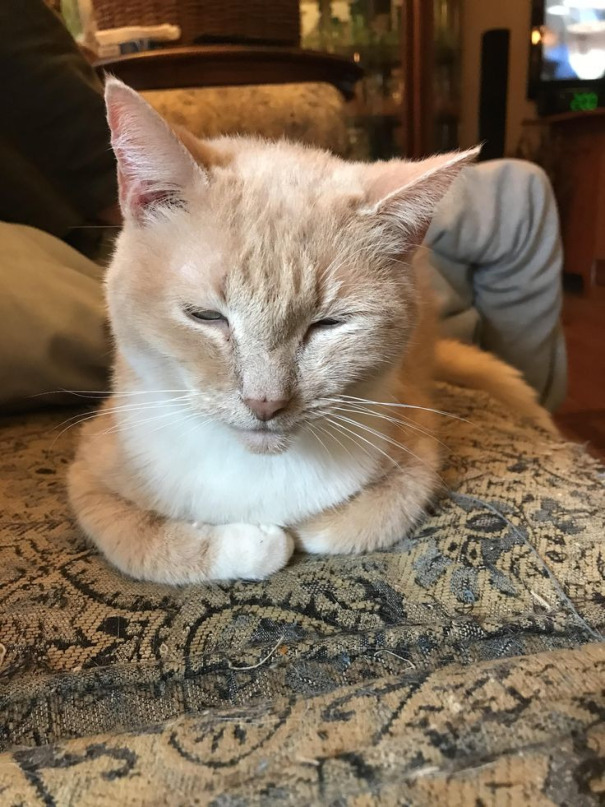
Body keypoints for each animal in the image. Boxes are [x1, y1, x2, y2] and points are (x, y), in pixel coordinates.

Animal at [68, 78, 554, 584]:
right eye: (206, 316)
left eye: (328, 324)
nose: (264, 403)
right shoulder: (88, 475)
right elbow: (147, 546)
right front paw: (256, 542)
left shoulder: (417, 449)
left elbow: (352, 523)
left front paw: (298, 530)